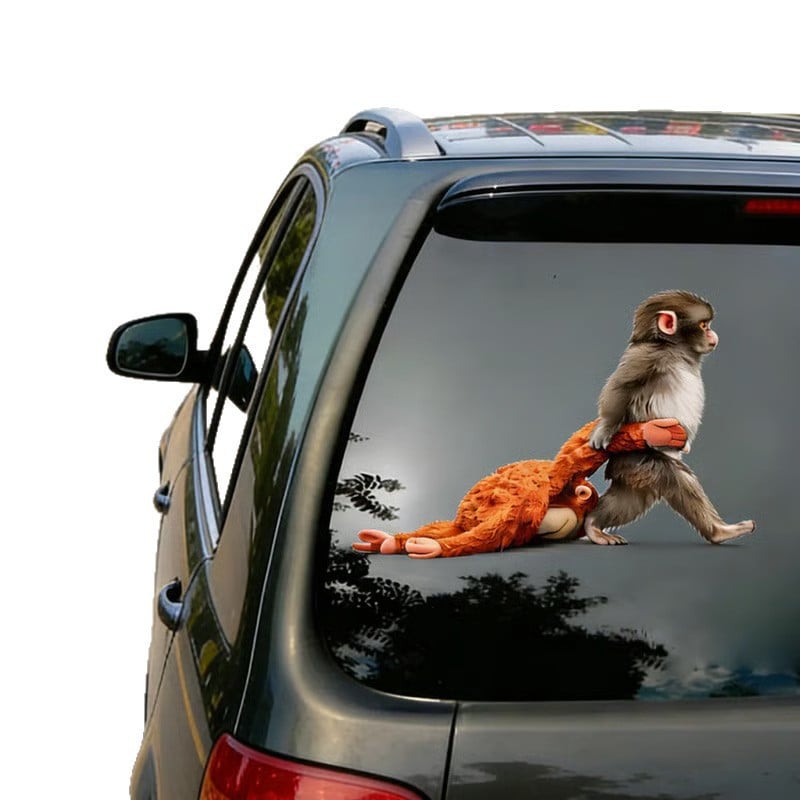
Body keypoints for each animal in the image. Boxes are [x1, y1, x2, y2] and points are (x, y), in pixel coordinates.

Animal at [585, 290, 755, 546]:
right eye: (703, 325)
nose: (713, 334)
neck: (674, 350)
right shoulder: (645, 356)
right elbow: (622, 385)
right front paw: (605, 427)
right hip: (639, 459)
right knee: (677, 479)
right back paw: (719, 532)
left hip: (635, 473)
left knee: (630, 499)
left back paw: (593, 523)